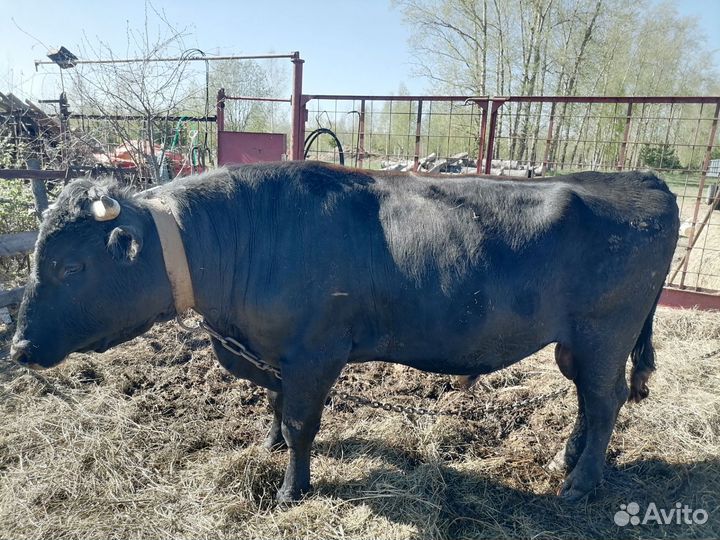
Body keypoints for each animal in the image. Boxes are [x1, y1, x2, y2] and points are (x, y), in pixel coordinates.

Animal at [10, 161, 679, 502]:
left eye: (72, 267)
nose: (18, 347)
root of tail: (640, 178)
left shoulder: (316, 351)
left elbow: (303, 422)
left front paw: (291, 488)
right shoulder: (276, 351)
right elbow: (276, 403)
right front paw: (269, 444)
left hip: (602, 332)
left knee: (606, 399)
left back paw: (579, 484)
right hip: (577, 343)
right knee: (588, 400)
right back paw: (569, 458)